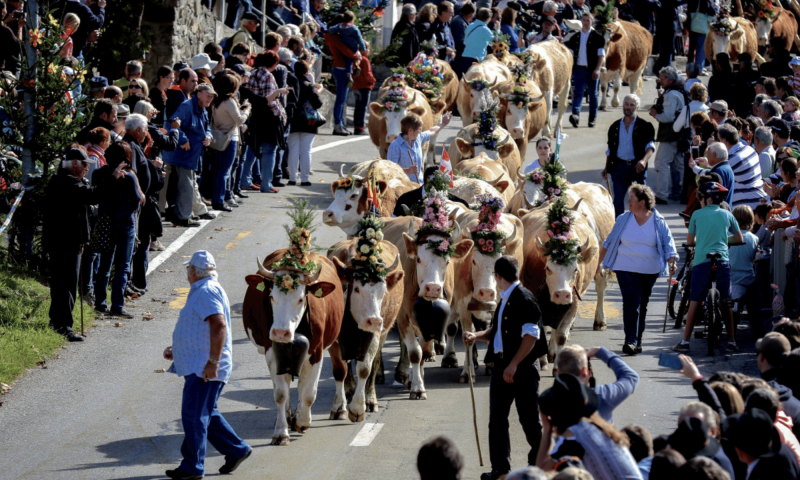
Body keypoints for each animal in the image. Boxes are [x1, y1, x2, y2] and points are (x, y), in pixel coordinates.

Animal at [242, 200, 346, 446]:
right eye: (271, 296)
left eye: (301, 299)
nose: (280, 332)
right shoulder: (272, 350)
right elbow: (280, 393)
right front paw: (282, 431)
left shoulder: (316, 351)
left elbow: (309, 393)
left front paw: (303, 421)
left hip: (335, 340)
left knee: (340, 371)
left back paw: (338, 409)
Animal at [324, 216, 404, 422]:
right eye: (357, 288)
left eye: (383, 290)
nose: (374, 321)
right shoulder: (334, 340)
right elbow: (340, 371)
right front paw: (339, 407)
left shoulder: (373, 335)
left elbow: (365, 368)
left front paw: (359, 407)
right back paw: (350, 389)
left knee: (374, 364)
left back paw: (369, 398)